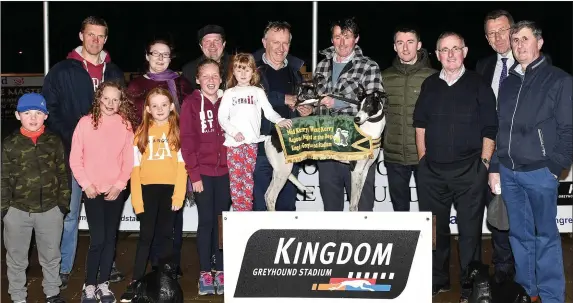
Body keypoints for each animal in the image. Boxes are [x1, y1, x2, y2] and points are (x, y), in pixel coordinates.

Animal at [262, 84, 386, 213]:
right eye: (359, 105)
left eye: (368, 105)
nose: (356, 119)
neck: (368, 130)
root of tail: (271, 134)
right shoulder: (355, 170)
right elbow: (353, 205)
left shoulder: (365, 169)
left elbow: (357, 200)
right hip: (283, 170)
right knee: (271, 197)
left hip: (279, 170)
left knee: (266, 195)